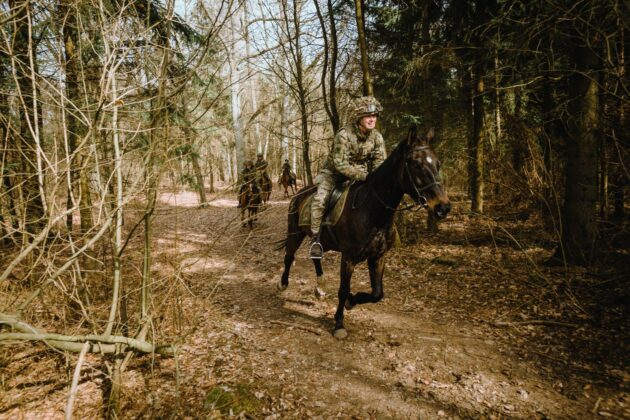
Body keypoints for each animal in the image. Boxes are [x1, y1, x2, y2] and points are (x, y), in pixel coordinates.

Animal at [278, 126, 452, 340]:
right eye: (416, 165)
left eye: (437, 163)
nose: (443, 207)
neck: (372, 211)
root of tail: (299, 194)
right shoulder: (348, 258)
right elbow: (343, 289)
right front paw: (339, 324)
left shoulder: (378, 257)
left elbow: (377, 293)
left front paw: (351, 302)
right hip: (295, 233)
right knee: (289, 256)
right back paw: (283, 284)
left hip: (320, 241)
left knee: (315, 257)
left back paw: (320, 287)